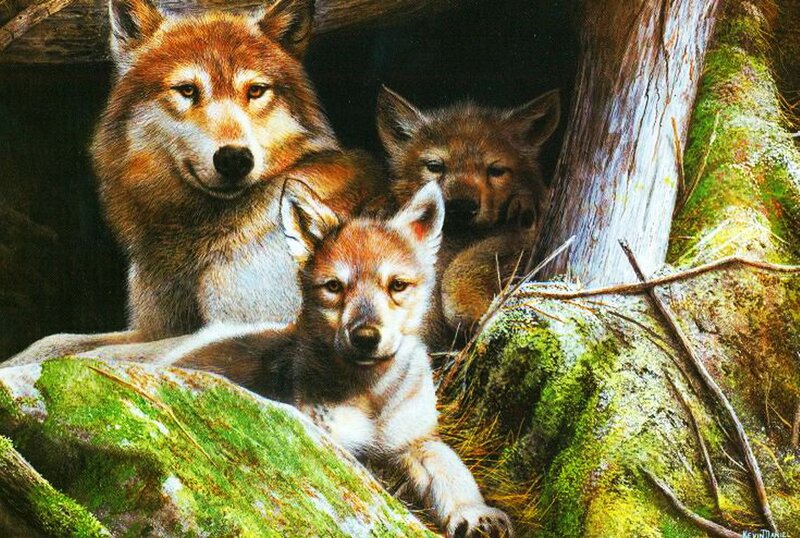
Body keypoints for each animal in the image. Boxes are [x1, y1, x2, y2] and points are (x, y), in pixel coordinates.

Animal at [7, 0, 385, 365]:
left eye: (256, 91)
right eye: (187, 90)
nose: (235, 158)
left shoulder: (256, 324)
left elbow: (111, 355)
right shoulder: (153, 327)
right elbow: (55, 341)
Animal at [158, 180, 513, 537]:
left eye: (397, 285)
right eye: (334, 286)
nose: (366, 337)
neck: (372, 395)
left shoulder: (417, 440)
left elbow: (452, 471)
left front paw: (476, 514)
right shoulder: (332, 442)